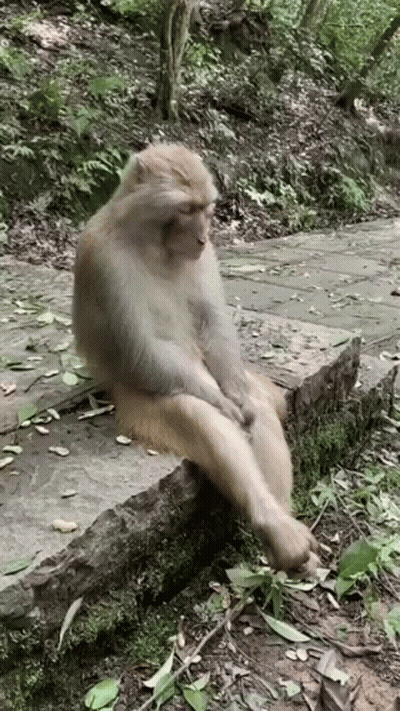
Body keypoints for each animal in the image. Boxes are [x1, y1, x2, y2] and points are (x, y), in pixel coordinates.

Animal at [73, 144, 319, 576]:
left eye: (205, 208)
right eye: (186, 209)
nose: (203, 236)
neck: (152, 243)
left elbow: (213, 320)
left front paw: (236, 399)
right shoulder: (103, 258)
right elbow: (143, 347)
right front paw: (225, 406)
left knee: (254, 403)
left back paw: (285, 529)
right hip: (138, 402)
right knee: (194, 410)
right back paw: (279, 531)